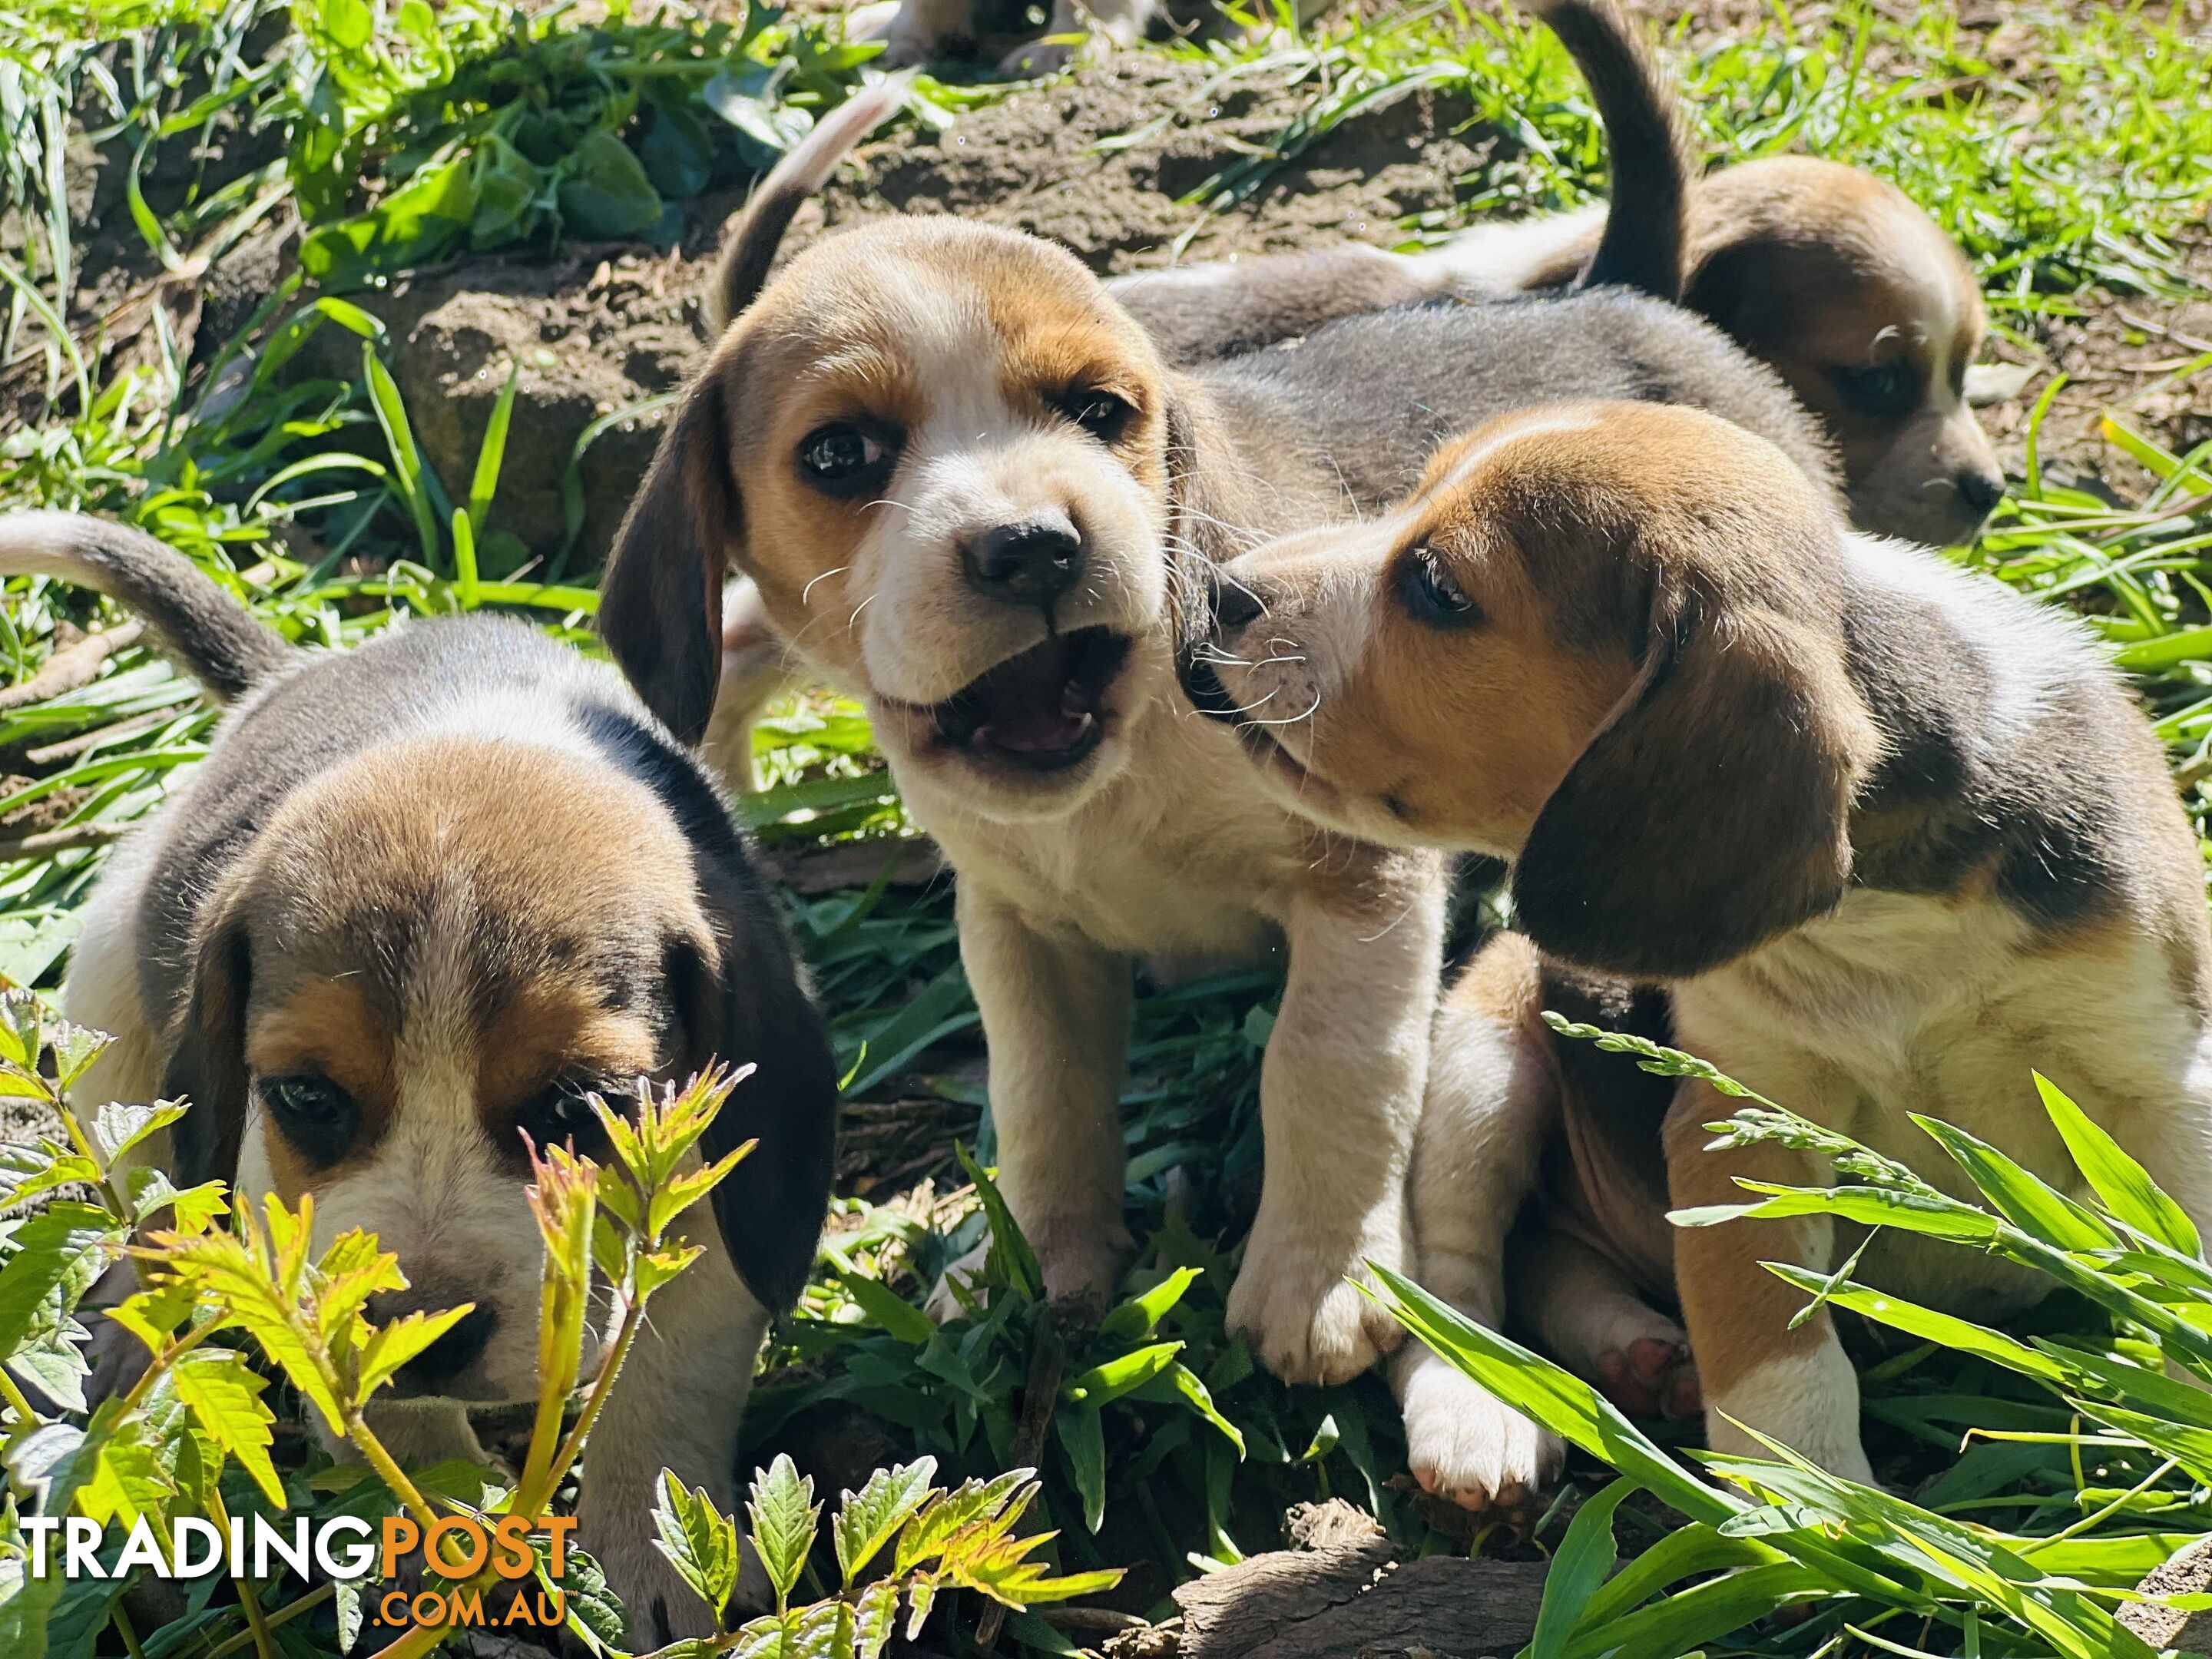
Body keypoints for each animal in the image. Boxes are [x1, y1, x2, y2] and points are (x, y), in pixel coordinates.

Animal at [2, 513, 836, 1645]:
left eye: (579, 1108)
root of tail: (292, 673)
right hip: (107, 987)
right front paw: (440, 1551)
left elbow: (665, 1385)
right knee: (141, 1190)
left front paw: (654, 1556)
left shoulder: (701, 1199)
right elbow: (402, 1436)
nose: (422, 1325)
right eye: (307, 1098)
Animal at [1185, 406, 2212, 1504]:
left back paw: (1634, 1352)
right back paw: (1487, 1407)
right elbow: (1774, 1345)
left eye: (1437, 587)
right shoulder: (1744, 1114)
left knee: (1549, 1257)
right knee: (1457, 1273)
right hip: (1483, 1057)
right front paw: (1815, 1504)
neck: (1879, 926)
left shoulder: (2165, 1080)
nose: (1219, 590)